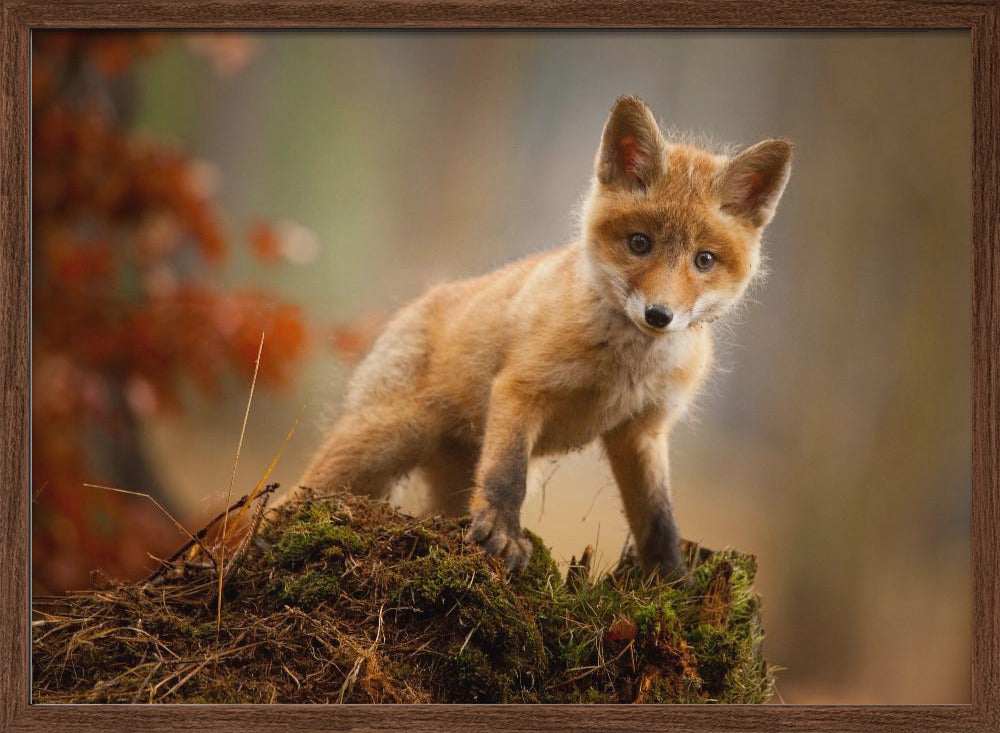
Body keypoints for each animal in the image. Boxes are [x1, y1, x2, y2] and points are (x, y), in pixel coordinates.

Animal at [289, 95, 792, 580]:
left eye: (704, 260)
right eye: (639, 243)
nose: (658, 315)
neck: (625, 369)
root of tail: (416, 304)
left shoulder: (642, 430)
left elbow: (659, 521)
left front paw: (672, 584)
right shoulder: (522, 388)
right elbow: (508, 476)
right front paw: (502, 535)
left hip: (446, 476)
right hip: (380, 442)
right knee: (293, 496)